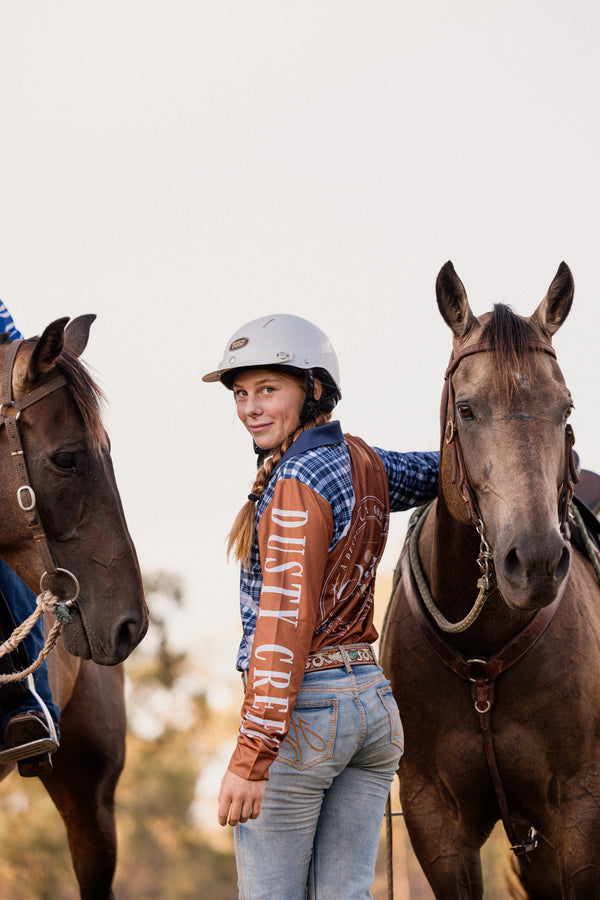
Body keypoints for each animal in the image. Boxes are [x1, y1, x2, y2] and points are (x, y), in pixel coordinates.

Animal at [382, 264, 600, 896]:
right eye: (468, 410)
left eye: (565, 409)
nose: (536, 561)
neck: (484, 658)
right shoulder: (435, 821)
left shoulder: (581, 811)